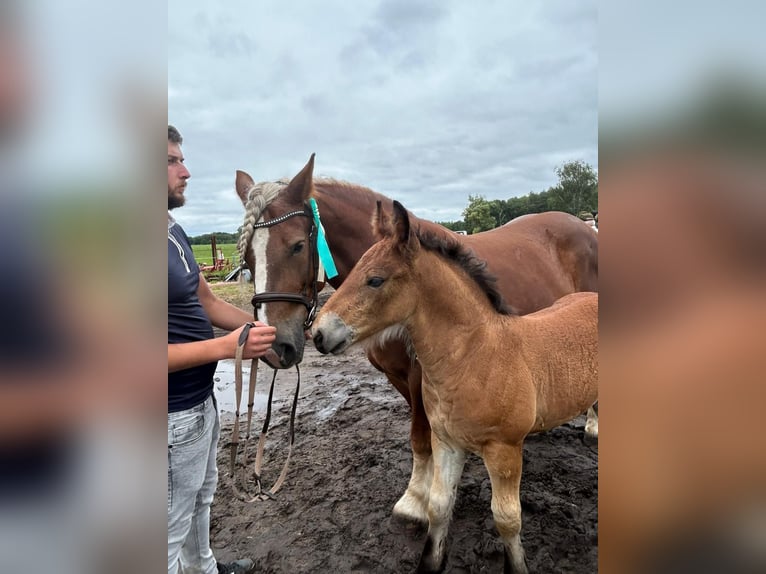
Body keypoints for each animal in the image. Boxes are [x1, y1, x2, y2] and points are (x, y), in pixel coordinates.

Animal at [312, 202, 600, 574]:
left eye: (375, 280)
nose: (318, 334)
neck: (476, 356)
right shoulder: (447, 442)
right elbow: (438, 506)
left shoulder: (504, 449)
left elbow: (507, 519)